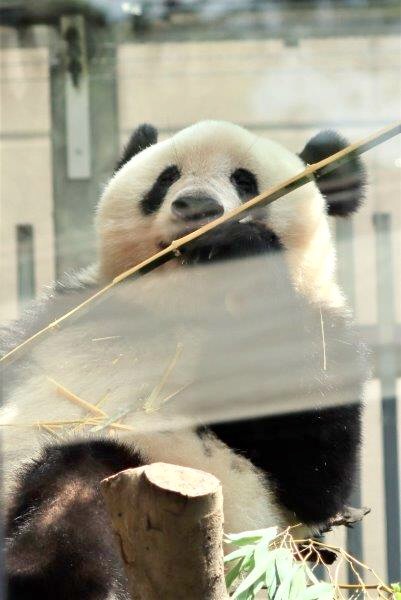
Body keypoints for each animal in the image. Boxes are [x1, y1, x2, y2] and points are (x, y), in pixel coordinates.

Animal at [1, 119, 368, 596]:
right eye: (166, 177)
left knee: (82, 478)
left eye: (245, 181)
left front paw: (240, 247)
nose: (197, 205)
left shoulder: (327, 338)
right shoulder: (63, 313)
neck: (182, 307)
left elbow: (317, 479)